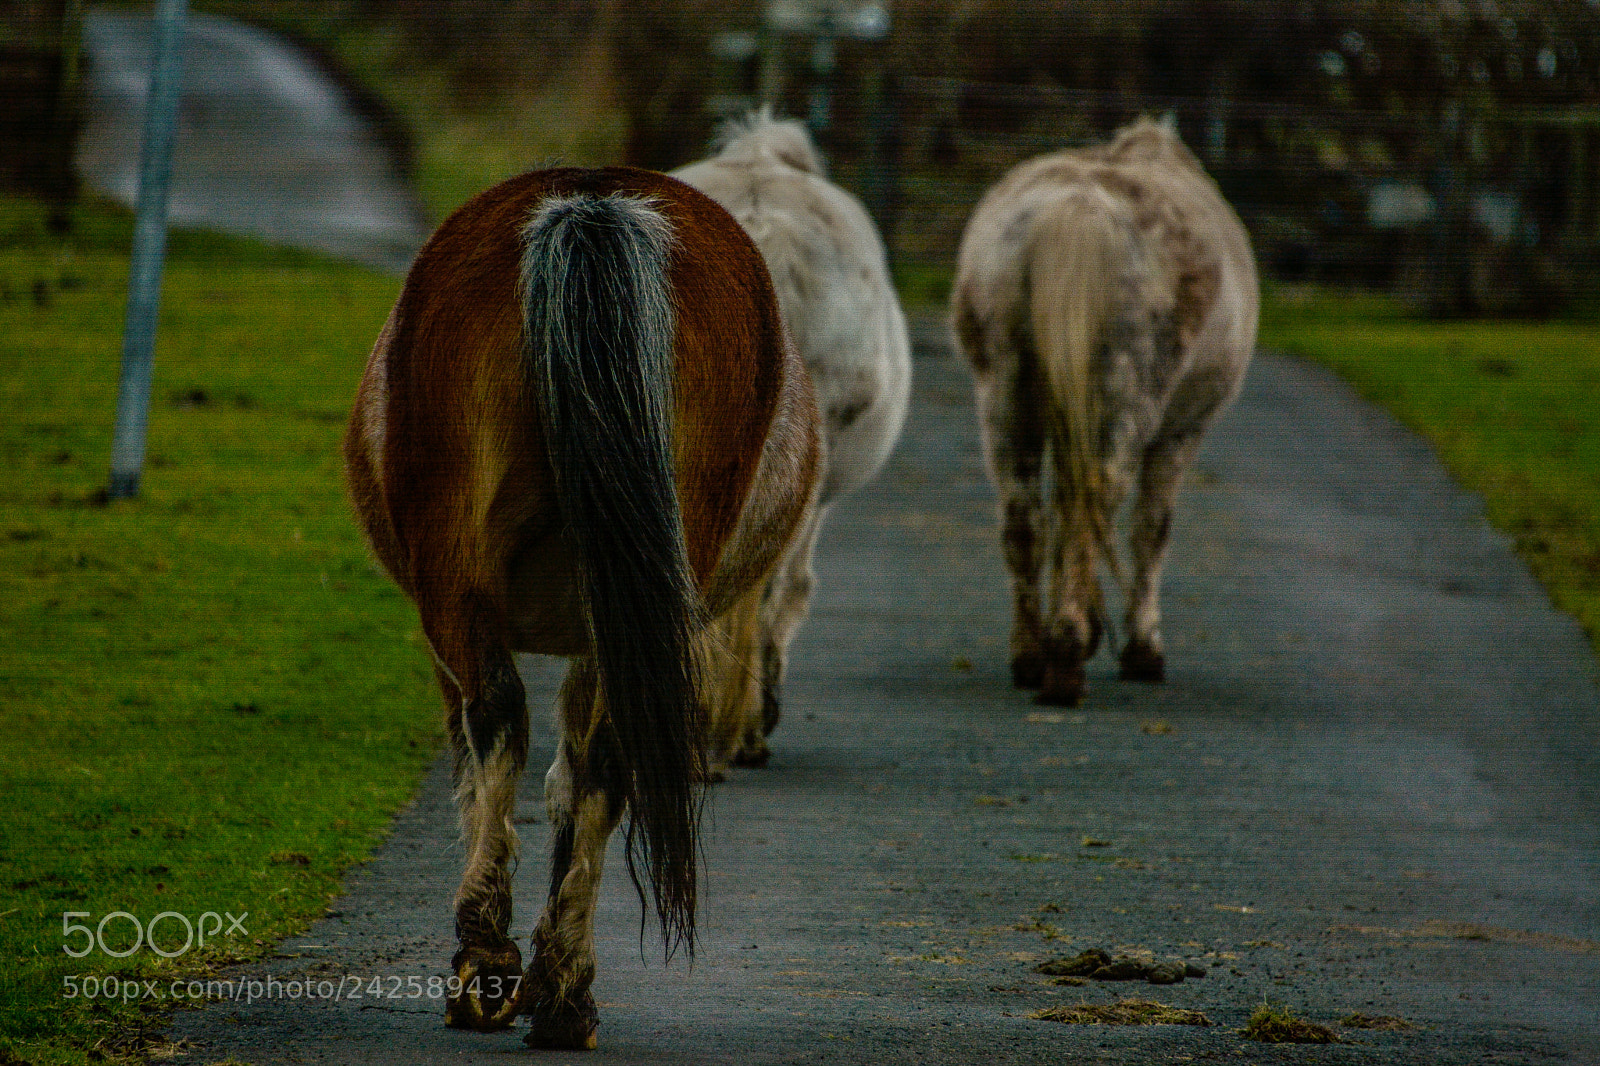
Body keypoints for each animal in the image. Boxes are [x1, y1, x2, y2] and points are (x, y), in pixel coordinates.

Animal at [345, 166, 819, 1043]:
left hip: (458, 579)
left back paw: (492, 962)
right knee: (604, 758)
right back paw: (563, 988)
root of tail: (593, 204)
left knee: (500, 718)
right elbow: (572, 779)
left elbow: (483, 772)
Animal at [953, 116, 1254, 704]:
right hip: (1126, 397)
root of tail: (1076, 213)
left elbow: (1063, 513)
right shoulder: (1182, 431)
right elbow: (1151, 529)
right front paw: (1142, 650)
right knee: (1101, 495)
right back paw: (1068, 656)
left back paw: (1033, 656)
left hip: (1007, 396)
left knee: (1025, 516)